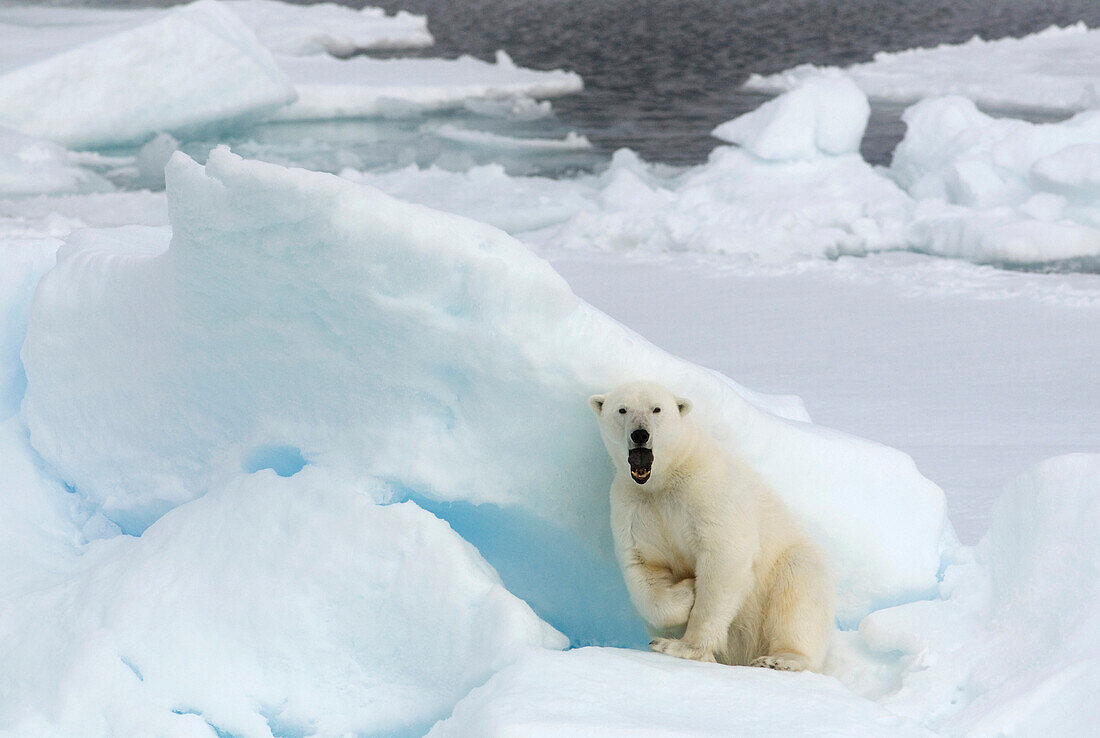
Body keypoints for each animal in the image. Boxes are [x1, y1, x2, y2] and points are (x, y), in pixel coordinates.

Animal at [594, 384, 831, 673]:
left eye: (656, 409)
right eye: (622, 409)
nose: (640, 434)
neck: (665, 478)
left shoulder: (706, 489)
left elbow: (724, 553)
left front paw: (683, 646)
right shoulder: (633, 506)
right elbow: (644, 567)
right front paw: (686, 591)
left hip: (790, 562)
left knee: (797, 596)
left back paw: (778, 659)